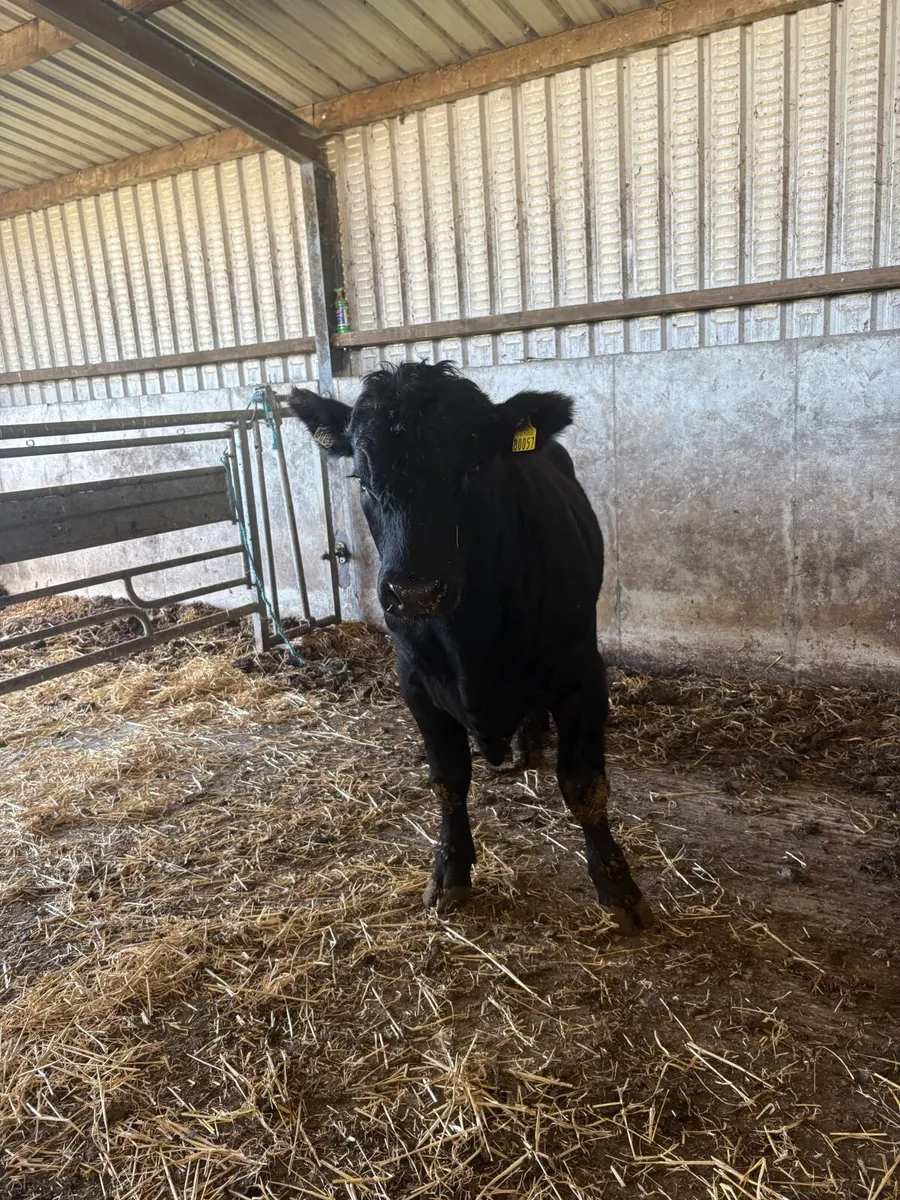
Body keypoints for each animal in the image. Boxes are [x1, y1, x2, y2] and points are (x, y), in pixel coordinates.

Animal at [291, 362, 654, 935]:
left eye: (473, 470)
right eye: (362, 480)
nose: (414, 592)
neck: (472, 639)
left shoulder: (583, 672)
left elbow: (585, 785)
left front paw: (617, 887)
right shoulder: (415, 682)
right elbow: (447, 781)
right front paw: (450, 872)